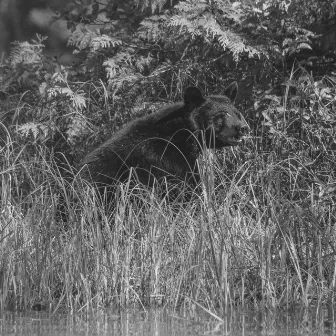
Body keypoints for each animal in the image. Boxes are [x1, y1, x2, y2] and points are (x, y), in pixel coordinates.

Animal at [80, 82, 249, 194]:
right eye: (221, 115)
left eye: (237, 113)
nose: (243, 128)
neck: (182, 133)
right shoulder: (164, 157)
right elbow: (183, 184)